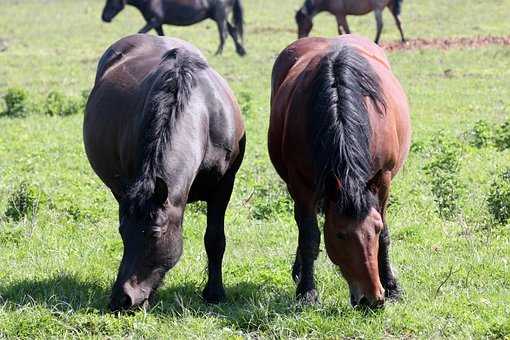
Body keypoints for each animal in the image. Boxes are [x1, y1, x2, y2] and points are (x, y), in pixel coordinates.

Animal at [84, 34, 247, 310]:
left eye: (154, 233)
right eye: (122, 232)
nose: (122, 299)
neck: (204, 112)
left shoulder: (224, 185)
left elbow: (215, 239)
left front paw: (214, 293)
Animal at [101, 0, 245, 55]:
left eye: (111, 1)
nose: (104, 18)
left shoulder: (154, 21)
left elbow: (141, 32)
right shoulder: (157, 23)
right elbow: (161, 35)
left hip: (220, 17)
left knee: (224, 33)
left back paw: (219, 53)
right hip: (219, 17)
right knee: (232, 31)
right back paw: (241, 51)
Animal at [268, 34, 412, 308]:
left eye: (375, 229)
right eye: (340, 235)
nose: (372, 299)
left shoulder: (383, 180)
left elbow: (386, 235)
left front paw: (392, 286)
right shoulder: (301, 185)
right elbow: (309, 236)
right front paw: (307, 292)